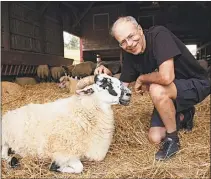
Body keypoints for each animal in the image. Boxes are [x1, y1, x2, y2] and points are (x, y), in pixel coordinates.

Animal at [2, 74, 132, 173]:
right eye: (105, 84)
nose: (129, 94)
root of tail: (9, 113)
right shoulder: (65, 152)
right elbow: (79, 167)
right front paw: (55, 167)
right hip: (4, 138)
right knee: (3, 154)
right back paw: (12, 161)